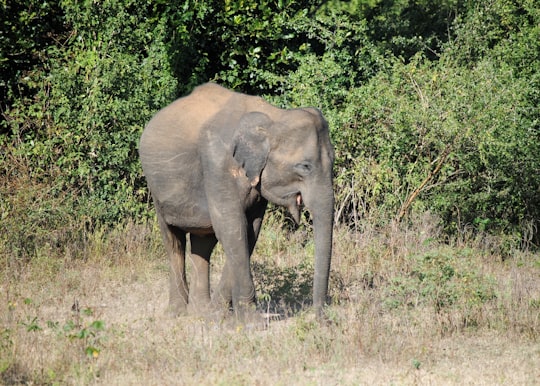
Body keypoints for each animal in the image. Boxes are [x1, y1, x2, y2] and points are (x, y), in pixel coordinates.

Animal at [139, 83, 334, 318]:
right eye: (305, 166)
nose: (321, 318)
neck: (272, 116)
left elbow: (249, 230)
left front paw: (217, 313)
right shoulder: (217, 165)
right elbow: (232, 227)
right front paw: (250, 320)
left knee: (203, 242)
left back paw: (199, 311)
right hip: (157, 190)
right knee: (173, 241)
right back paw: (177, 313)